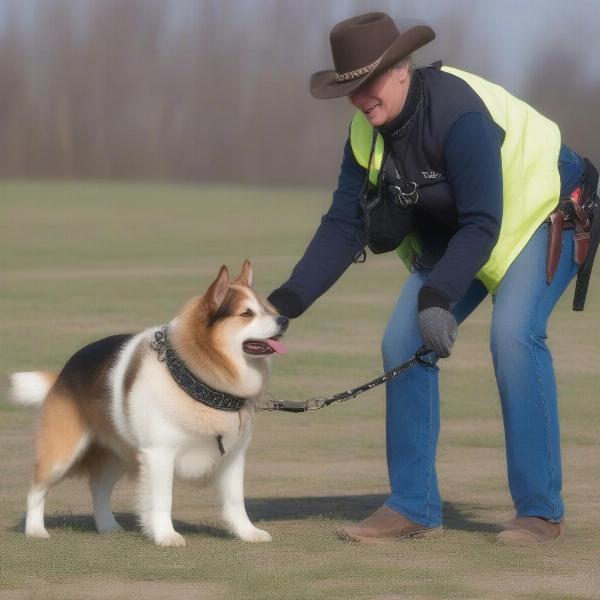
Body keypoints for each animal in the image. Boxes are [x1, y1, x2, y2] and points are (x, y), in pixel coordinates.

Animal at [8, 260, 290, 548]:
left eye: (267, 308)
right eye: (247, 313)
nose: (284, 320)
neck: (195, 381)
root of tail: (63, 373)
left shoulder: (233, 457)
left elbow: (235, 501)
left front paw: (247, 532)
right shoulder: (159, 454)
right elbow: (163, 499)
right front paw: (165, 535)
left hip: (116, 454)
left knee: (99, 488)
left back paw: (108, 527)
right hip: (61, 453)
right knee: (35, 490)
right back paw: (35, 529)